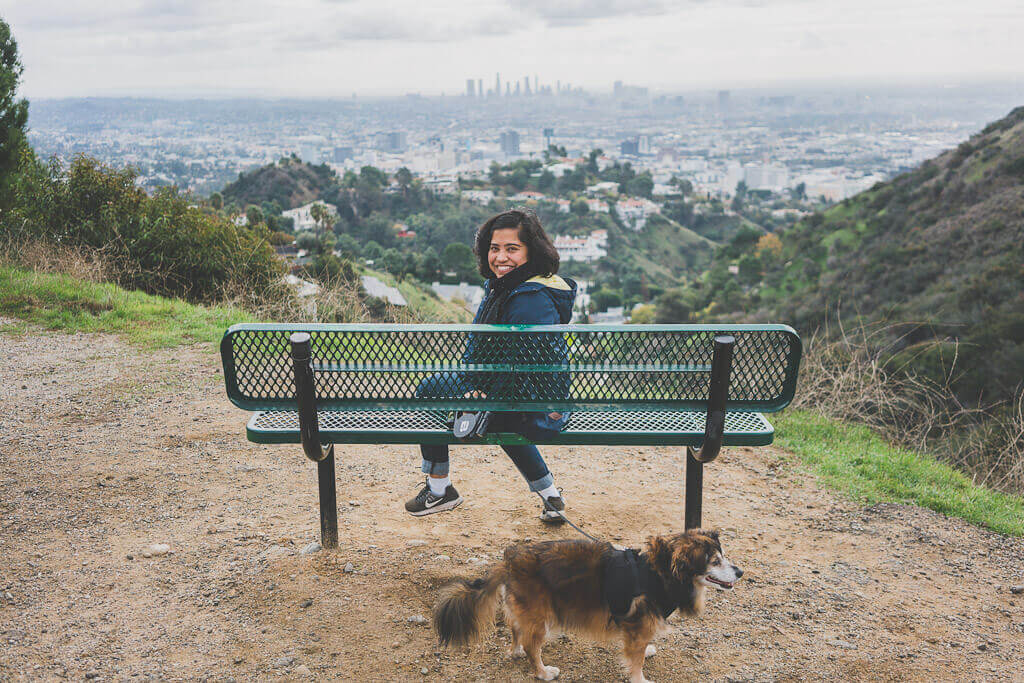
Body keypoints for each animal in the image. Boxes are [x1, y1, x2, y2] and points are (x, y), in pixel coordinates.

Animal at [434, 528, 745, 683]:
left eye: (725, 557)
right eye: (714, 561)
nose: (740, 572)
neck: (660, 571)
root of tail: (509, 562)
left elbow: (643, 649)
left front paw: (650, 649)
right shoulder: (636, 628)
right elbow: (636, 661)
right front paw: (640, 678)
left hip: (527, 610)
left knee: (515, 629)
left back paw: (516, 651)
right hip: (541, 617)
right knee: (533, 646)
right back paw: (543, 672)